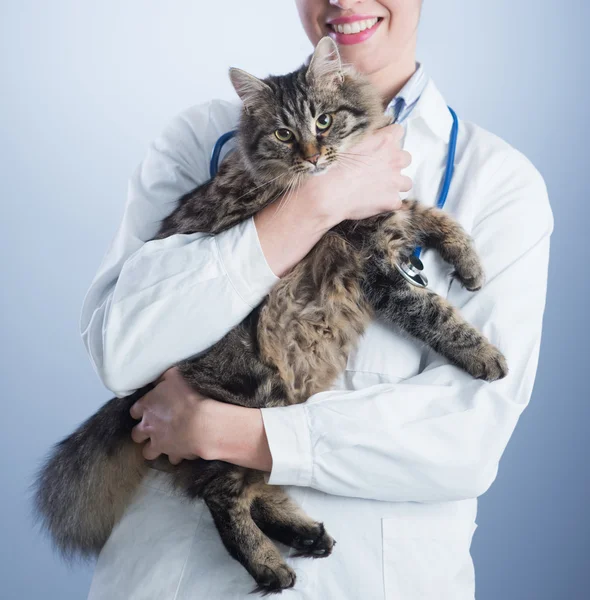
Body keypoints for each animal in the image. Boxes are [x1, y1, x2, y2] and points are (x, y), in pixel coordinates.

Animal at [34, 38, 508, 596]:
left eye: (323, 121)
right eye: (284, 134)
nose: (313, 156)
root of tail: (135, 395)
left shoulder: (390, 218)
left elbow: (433, 215)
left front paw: (470, 263)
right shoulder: (373, 264)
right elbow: (436, 313)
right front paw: (486, 354)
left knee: (253, 484)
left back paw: (307, 536)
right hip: (257, 394)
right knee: (225, 494)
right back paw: (270, 564)